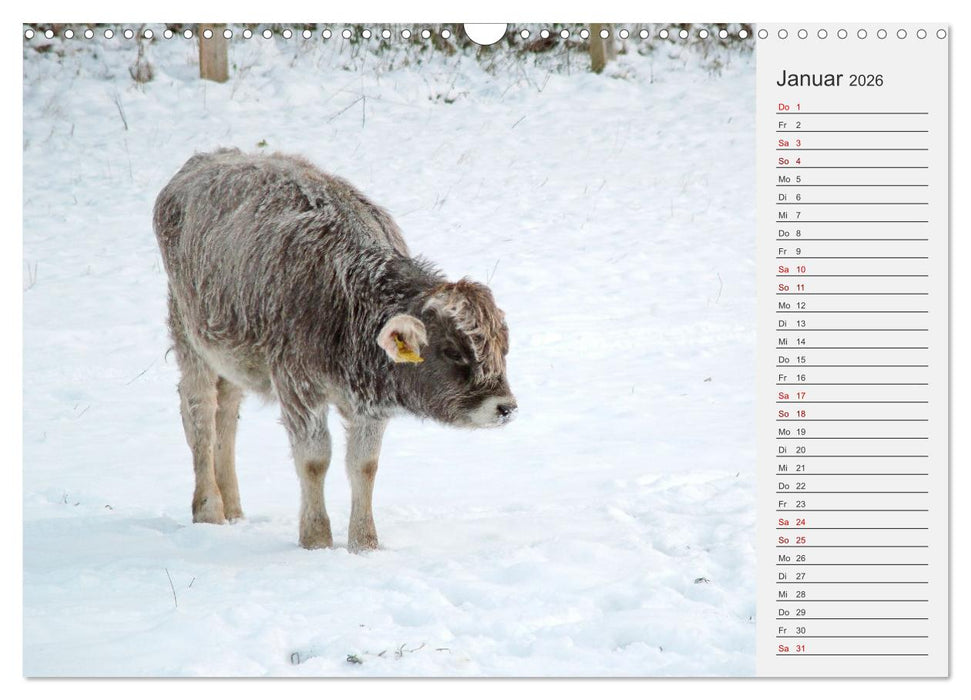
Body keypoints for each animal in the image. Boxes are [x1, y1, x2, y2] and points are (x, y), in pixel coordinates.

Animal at [153, 149, 516, 552]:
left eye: (503, 349)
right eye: (452, 350)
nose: (504, 407)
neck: (349, 296)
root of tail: (197, 164)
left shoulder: (369, 406)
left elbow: (364, 465)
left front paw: (364, 543)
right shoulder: (298, 388)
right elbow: (314, 460)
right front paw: (316, 539)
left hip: (230, 358)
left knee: (227, 414)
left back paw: (234, 508)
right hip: (190, 338)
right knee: (200, 414)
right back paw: (209, 509)